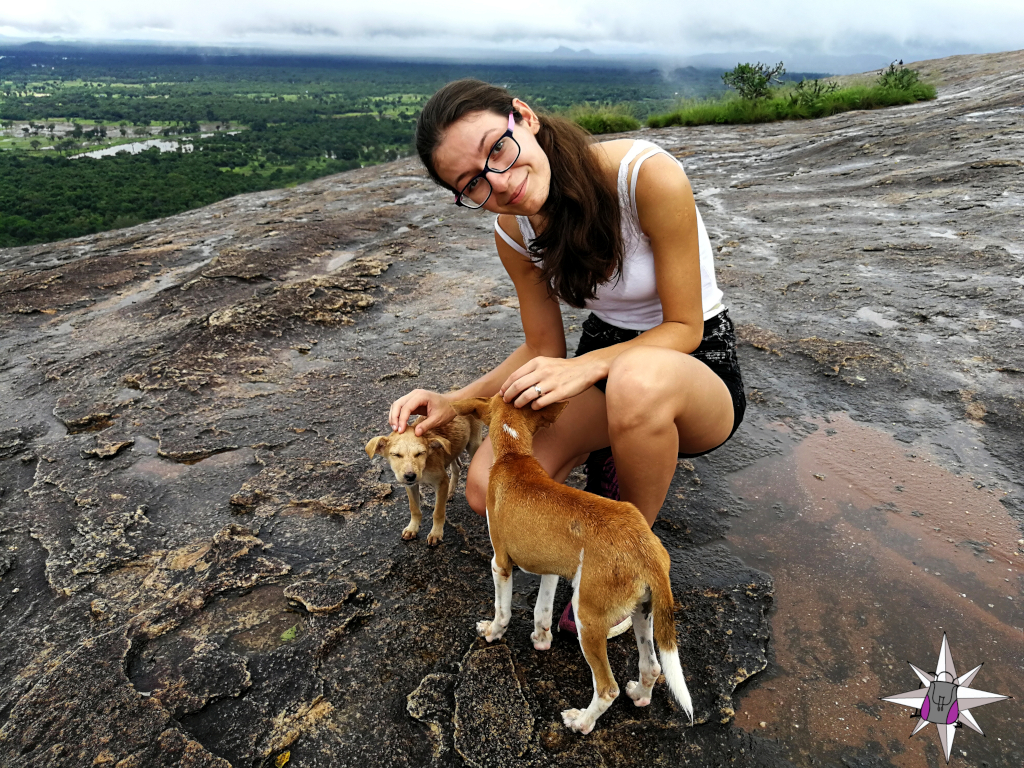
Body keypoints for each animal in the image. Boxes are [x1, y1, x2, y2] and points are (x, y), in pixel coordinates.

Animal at [364, 415, 483, 548]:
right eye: (396, 454)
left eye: (420, 453)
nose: (410, 476)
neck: (424, 467)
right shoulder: (410, 486)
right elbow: (414, 508)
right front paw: (412, 528)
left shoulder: (441, 482)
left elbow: (438, 512)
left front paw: (436, 533)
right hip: (453, 448)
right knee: (456, 466)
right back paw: (450, 492)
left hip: (473, 444)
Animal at [452, 397, 692, 733]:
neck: (515, 455)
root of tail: (648, 550)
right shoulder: (552, 567)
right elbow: (541, 610)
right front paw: (541, 640)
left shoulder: (500, 563)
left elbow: (503, 610)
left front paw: (492, 632)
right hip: (643, 611)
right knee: (652, 666)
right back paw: (640, 696)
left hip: (587, 618)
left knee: (607, 688)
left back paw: (581, 722)